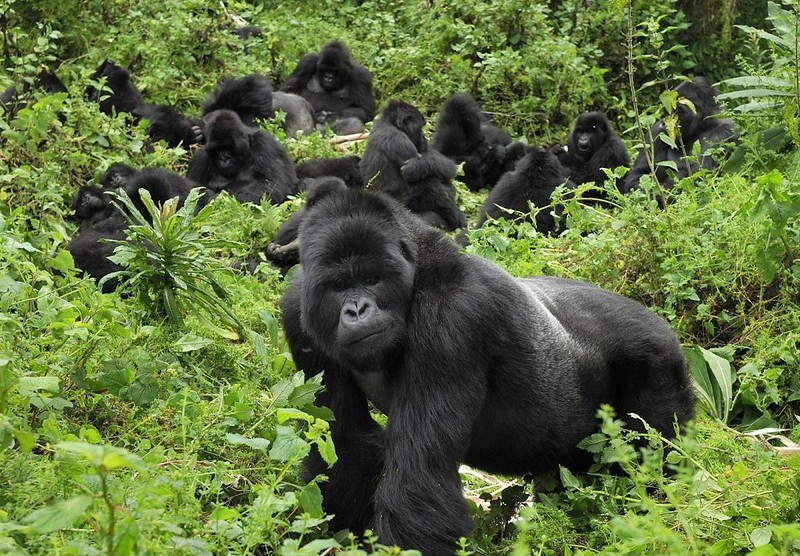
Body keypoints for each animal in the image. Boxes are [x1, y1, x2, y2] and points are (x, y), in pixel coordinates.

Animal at [282, 188, 692, 556]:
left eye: (371, 279)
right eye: (338, 286)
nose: (357, 310)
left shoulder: (452, 316)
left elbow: (418, 479)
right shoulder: (298, 311)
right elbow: (345, 444)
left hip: (658, 361)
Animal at [360, 99, 466, 230]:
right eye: (420, 128)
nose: (424, 139)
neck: (390, 123)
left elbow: (442, 164)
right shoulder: (398, 140)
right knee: (433, 185)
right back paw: (458, 221)